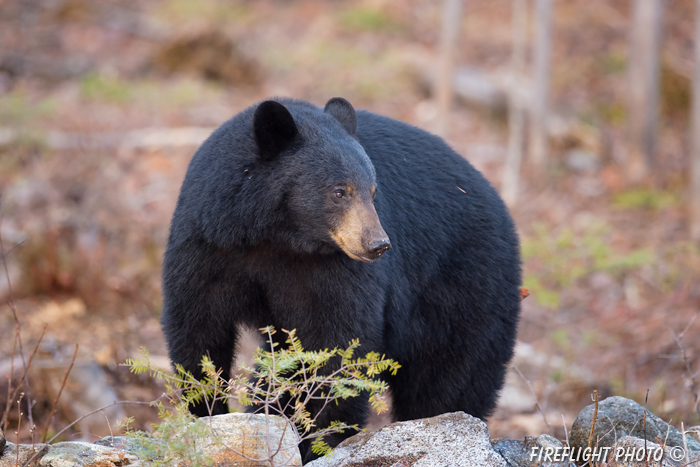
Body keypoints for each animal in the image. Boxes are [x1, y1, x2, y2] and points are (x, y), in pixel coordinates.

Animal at [161, 97, 524, 462]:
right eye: (340, 192)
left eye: (373, 191)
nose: (378, 244)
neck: (273, 236)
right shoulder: (207, 245)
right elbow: (198, 328)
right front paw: (206, 412)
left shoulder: (332, 271)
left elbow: (338, 341)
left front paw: (321, 441)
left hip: (464, 291)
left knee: (450, 378)